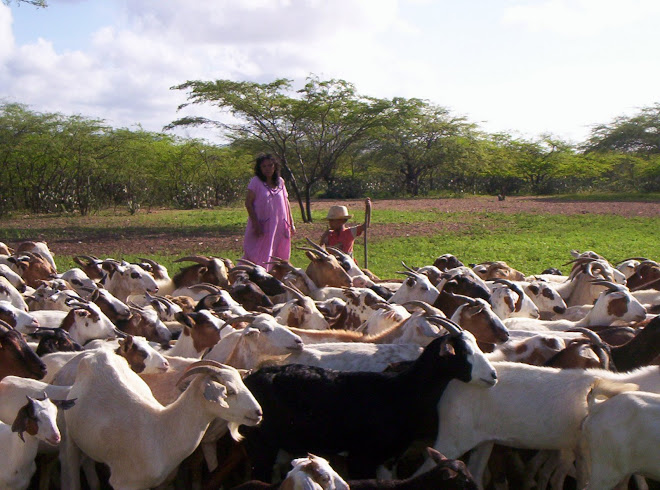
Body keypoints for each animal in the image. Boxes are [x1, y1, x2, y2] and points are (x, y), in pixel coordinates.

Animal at [58, 352, 262, 490]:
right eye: (230, 391)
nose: (258, 413)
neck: (161, 430)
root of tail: (95, 355)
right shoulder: (124, 482)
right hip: (68, 440)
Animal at [240, 320, 498, 480]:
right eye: (464, 352)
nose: (493, 375)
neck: (400, 390)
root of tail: (252, 377)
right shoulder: (361, 457)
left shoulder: (389, 458)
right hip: (261, 445)